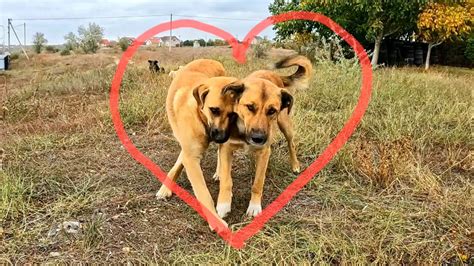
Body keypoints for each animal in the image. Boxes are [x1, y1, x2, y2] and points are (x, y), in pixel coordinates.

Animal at [156, 58, 239, 231]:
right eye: (214, 110)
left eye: (233, 114)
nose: (222, 137)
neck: (200, 116)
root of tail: (211, 60)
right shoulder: (190, 156)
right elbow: (203, 193)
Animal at [214, 54, 312, 218]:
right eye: (250, 107)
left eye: (272, 111)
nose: (258, 138)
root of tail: (274, 74)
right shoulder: (227, 148)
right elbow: (227, 180)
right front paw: (223, 204)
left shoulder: (264, 152)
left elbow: (258, 183)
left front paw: (254, 206)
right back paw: (218, 172)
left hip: (285, 124)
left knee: (291, 143)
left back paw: (295, 165)